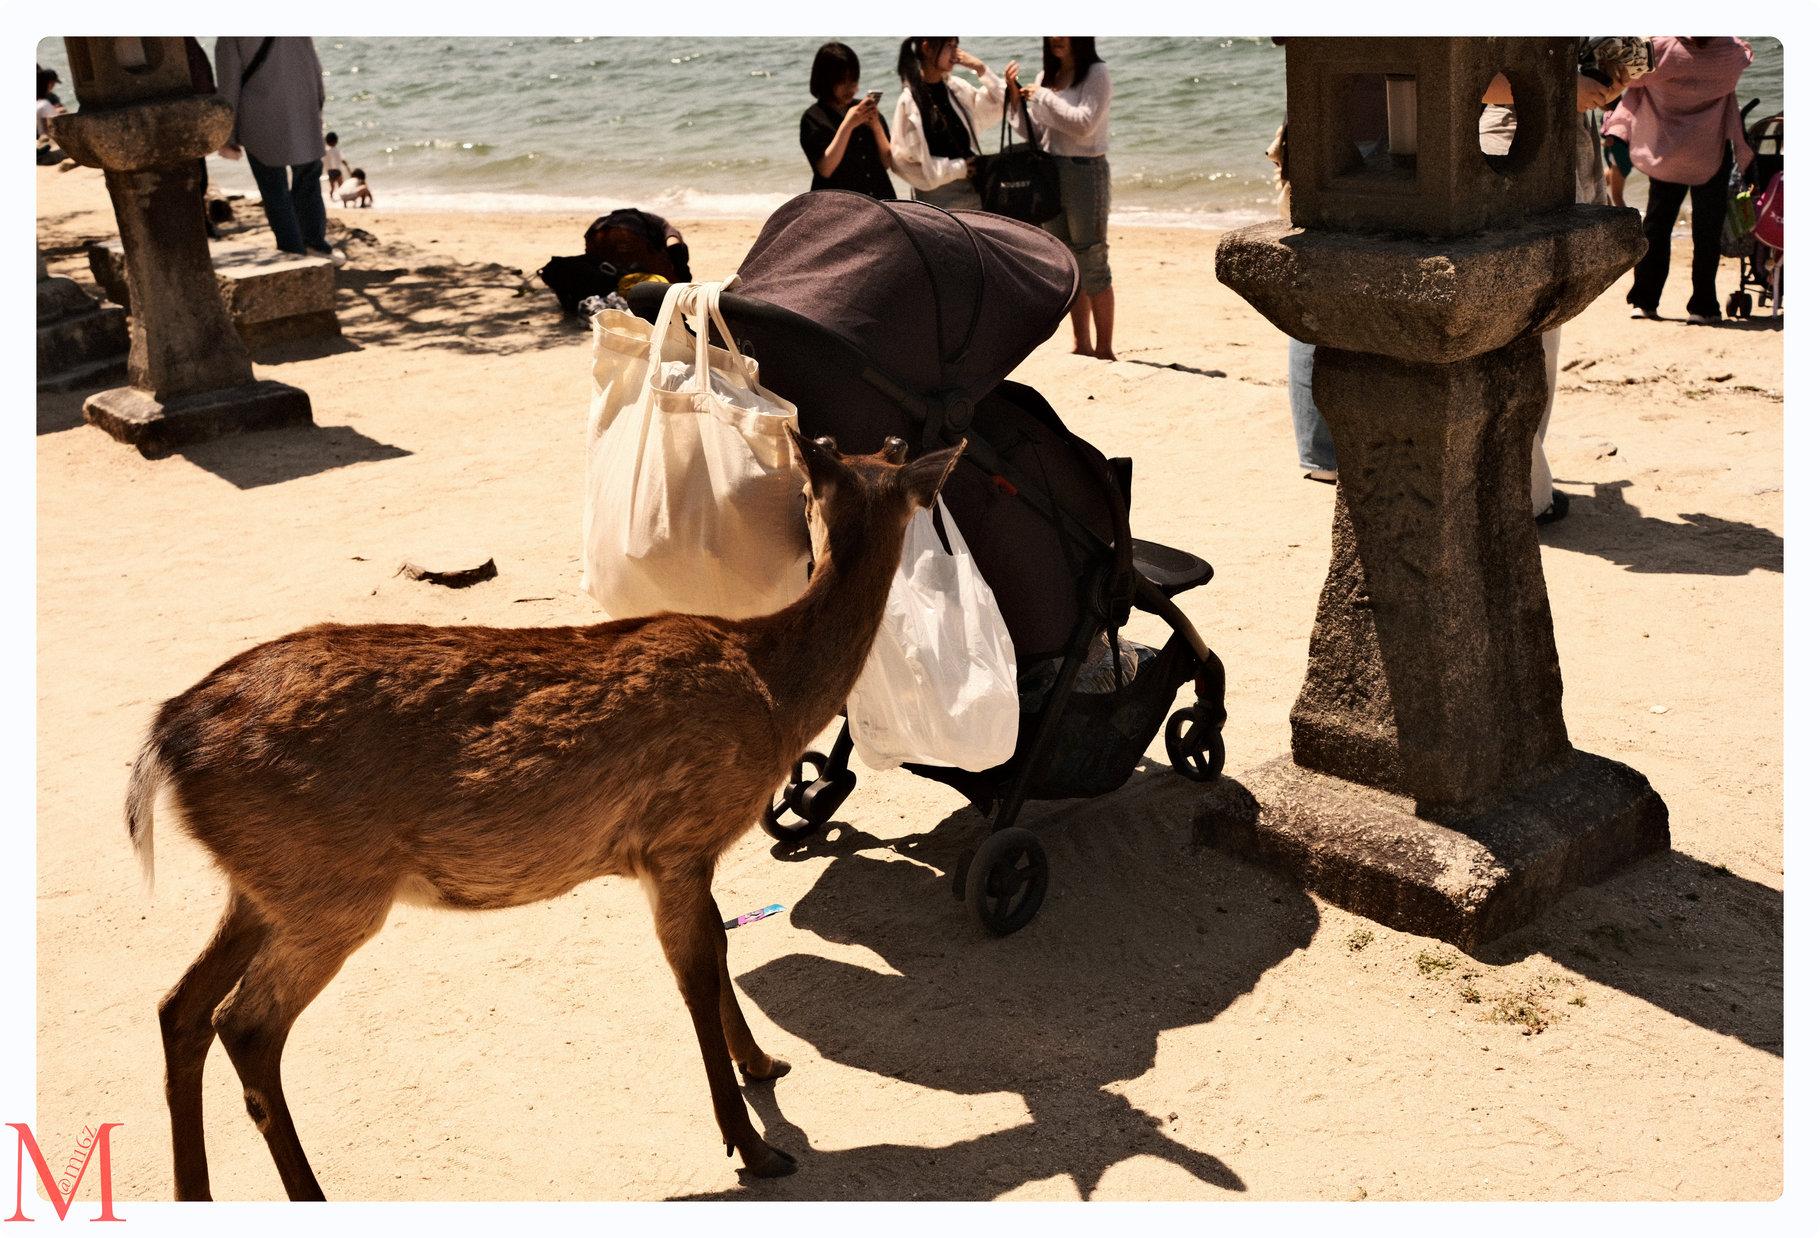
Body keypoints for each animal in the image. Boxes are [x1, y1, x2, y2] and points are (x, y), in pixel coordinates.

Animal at [125, 429, 963, 1199]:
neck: (773, 694)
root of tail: (167, 736)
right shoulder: (677, 837)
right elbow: (696, 967)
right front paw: (754, 1146)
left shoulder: (679, 854)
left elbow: (721, 949)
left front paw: (763, 1064)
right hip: (331, 887)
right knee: (245, 1024)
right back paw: (309, 1194)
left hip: (264, 883)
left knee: (179, 1007)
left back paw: (193, 1193)